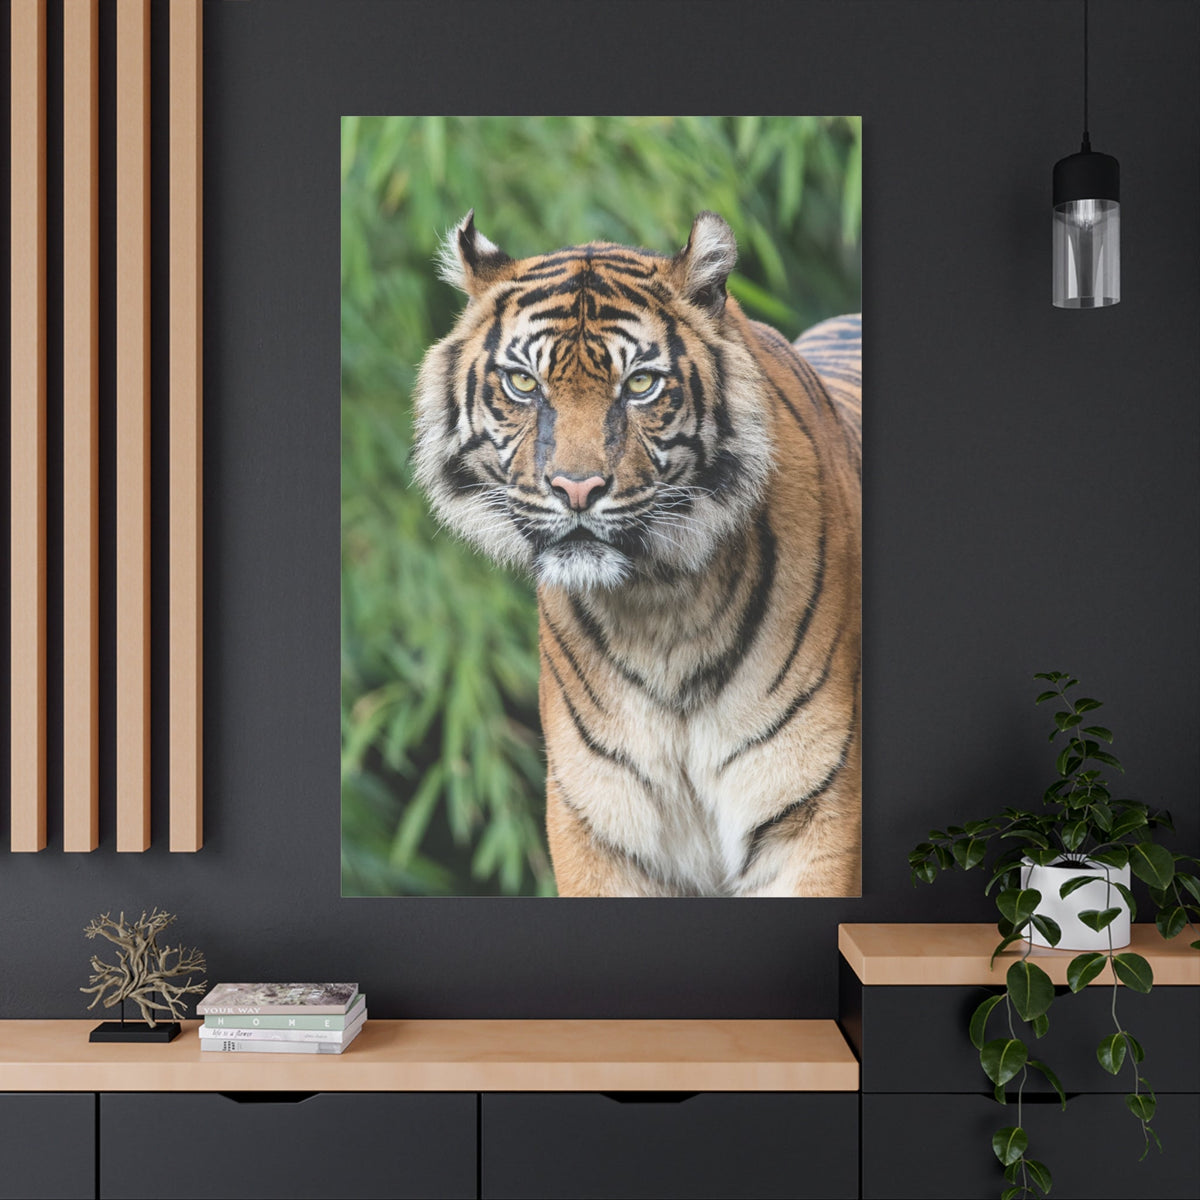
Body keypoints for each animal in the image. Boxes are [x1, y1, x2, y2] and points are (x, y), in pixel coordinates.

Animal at [413, 210, 861, 897]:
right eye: (523, 382)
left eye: (642, 384)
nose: (575, 489)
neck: (662, 606)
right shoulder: (599, 826)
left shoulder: (814, 814)